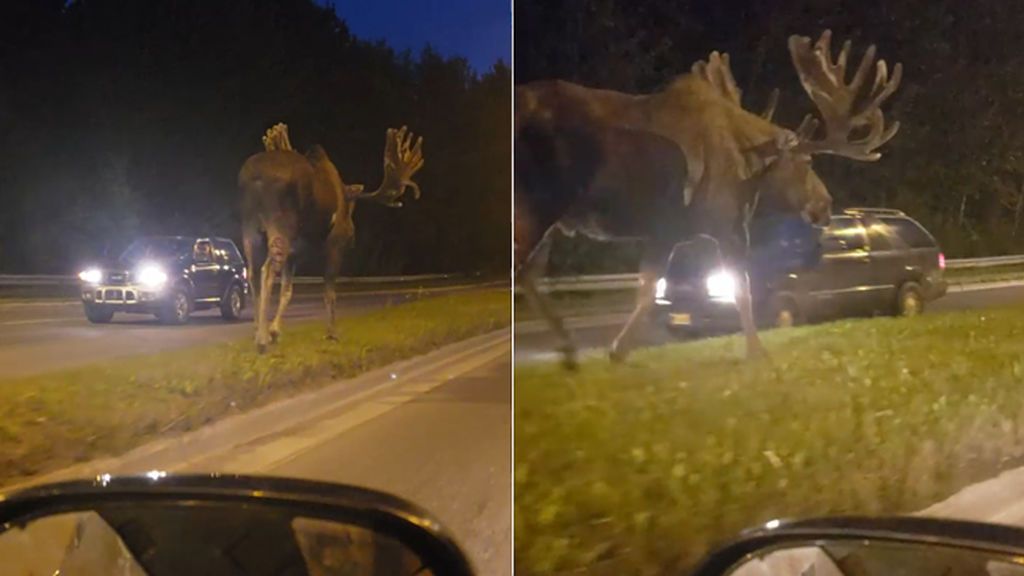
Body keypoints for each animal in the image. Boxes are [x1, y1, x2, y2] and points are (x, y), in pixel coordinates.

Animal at [239, 121, 423, 350]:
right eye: (351, 209)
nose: (352, 235)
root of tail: (254, 176)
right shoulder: (335, 243)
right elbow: (329, 292)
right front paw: (332, 333)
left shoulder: (295, 254)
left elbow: (287, 291)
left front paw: (275, 331)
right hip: (281, 223)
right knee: (266, 269)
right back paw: (262, 339)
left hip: (249, 227)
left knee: (252, 271)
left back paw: (257, 330)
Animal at [516, 30, 901, 366]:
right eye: (807, 162)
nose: (826, 204)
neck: (750, 164)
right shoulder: (724, 226)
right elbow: (739, 289)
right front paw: (757, 353)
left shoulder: (667, 232)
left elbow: (648, 289)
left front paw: (619, 350)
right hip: (538, 203)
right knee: (520, 267)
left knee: (528, 273)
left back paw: (566, 346)